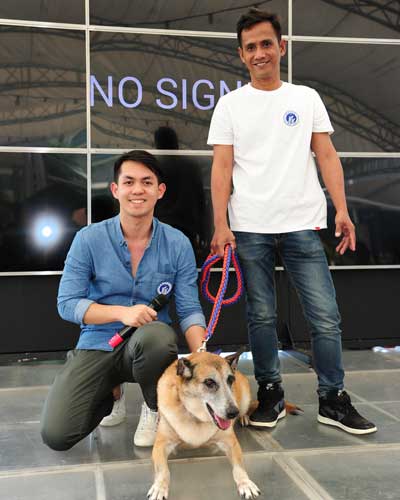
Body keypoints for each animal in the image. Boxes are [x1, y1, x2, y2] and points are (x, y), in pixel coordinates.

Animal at [148, 350, 260, 500]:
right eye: (209, 382)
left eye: (230, 380)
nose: (233, 413)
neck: (195, 416)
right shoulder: (161, 444)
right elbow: (163, 470)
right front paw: (159, 487)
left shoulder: (231, 443)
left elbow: (239, 467)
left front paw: (245, 482)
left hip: (244, 400)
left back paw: (243, 417)